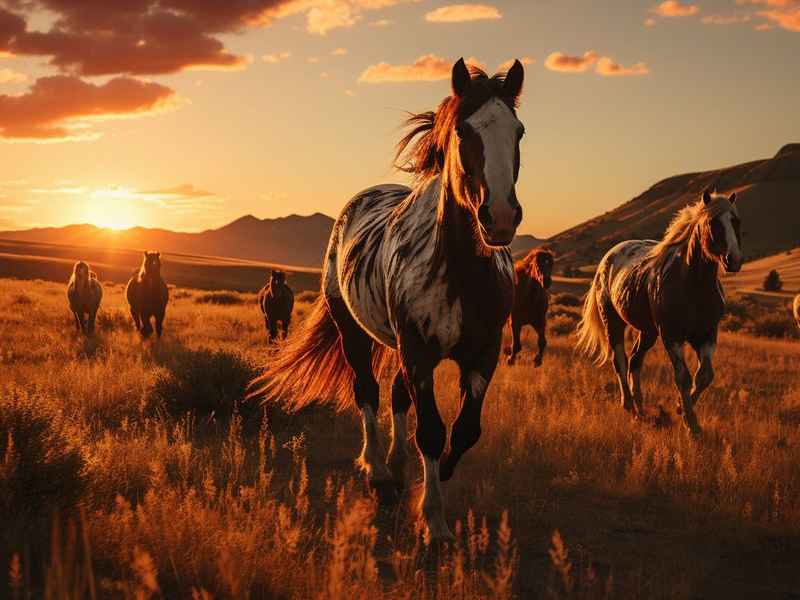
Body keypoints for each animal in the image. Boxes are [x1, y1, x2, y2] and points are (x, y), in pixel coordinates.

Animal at [251, 58, 526, 541]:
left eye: (519, 131)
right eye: (462, 132)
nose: (501, 218)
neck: (460, 271)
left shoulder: (484, 353)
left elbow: (464, 431)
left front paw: (436, 479)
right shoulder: (418, 352)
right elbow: (431, 431)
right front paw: (432, 518)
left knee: (398, 396)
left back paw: (397, 468)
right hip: (354, 333)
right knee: (367, 390)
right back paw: (379, 471)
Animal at [576, 189, 742, 436]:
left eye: (736, 221)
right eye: (713, 223)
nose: (734, 260)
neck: (693, 284)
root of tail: (609, 256)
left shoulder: (707, 334)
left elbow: (704, 376)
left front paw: (680, 408)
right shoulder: (671, 336)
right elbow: (683, 377)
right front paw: (690, 423)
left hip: (648, 332)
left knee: (635, 361)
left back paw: (640, 408)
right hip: (613, 323)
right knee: (620, 361)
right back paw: (628, 405)